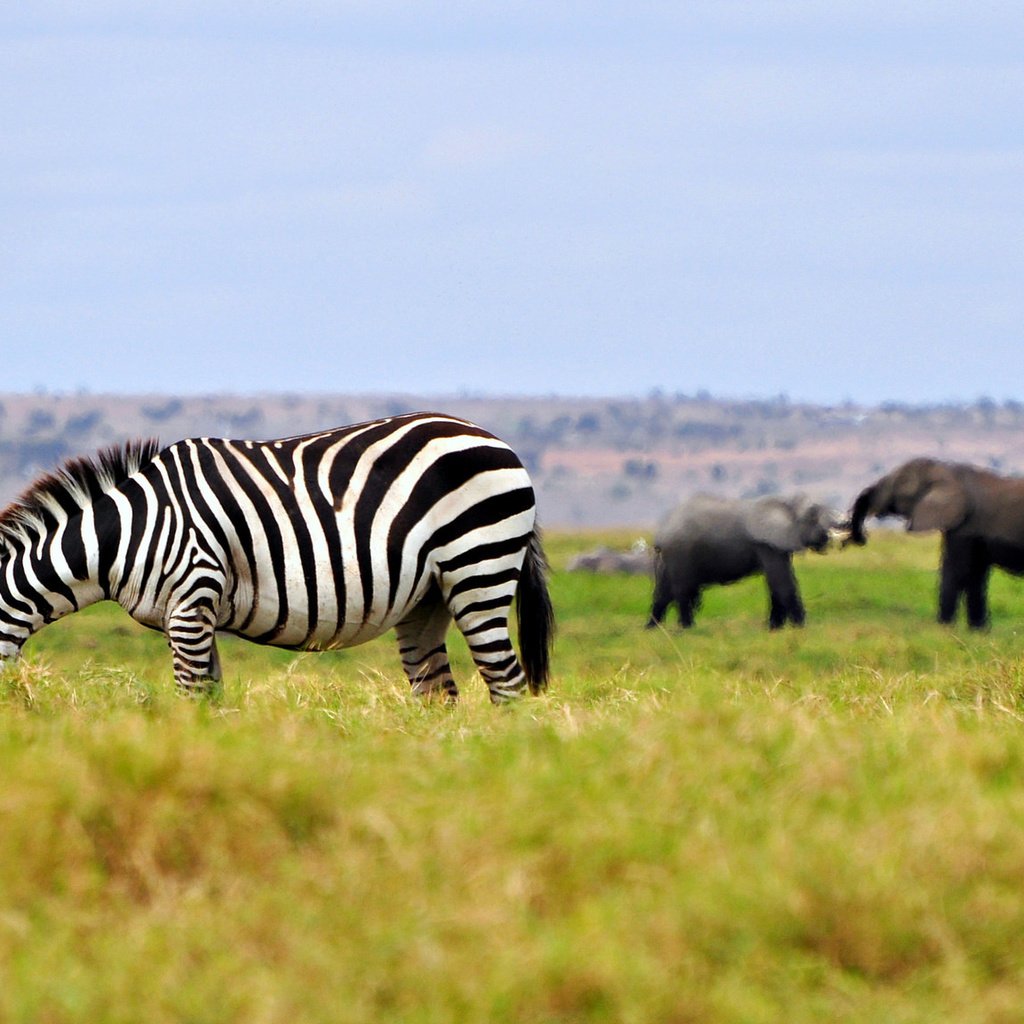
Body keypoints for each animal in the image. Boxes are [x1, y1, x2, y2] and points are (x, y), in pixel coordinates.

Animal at [0, 411, 552, 700]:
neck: (124, 536)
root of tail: (493, 438)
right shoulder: (195, 615)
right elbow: (211, 699)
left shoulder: (190, 601)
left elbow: (191, 697)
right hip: (428, 598)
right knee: (438, 693)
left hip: (478, 567)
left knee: (506, 683)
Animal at [643, 491, 835, 626]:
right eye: (812, 517)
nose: (826, 538)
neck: (784, 503)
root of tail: (661, 533)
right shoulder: (766, 543)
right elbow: (782, 583)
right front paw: (801, 628)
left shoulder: (778, 544)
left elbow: (775, 584)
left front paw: (774, 629)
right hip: (680, 552)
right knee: (681, 590)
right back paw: (687, 629)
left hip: (668, 558)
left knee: (663, 593)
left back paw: (652, 630)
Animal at [843, 458, 1024, 630]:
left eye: (899, 486)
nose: (862, 539)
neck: (948, 471)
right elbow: (975, 577)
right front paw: (978, 633)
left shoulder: (964, 528)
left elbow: (956, 572)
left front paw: (944, 629)